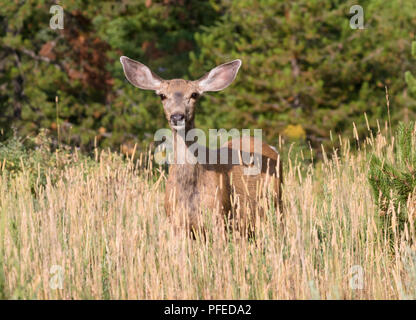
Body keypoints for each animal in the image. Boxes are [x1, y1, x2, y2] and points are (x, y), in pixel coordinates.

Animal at [120, 55, 282, 235]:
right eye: (162, 95)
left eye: (194, 94)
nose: (177, 116)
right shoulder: (176, 223)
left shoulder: (219, 217)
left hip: (275, 205)